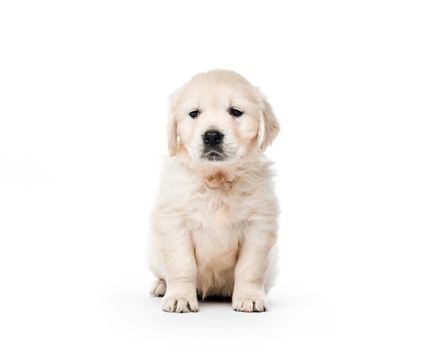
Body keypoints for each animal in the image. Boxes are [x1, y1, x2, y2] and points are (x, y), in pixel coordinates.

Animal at [149, 69, 280, 314]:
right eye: (194, 113)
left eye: (236, 111)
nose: (211, 136)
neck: (216, 178)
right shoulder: (175, 222)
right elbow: (181, 265)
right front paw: (180, 298)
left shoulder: (258, 225)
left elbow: (250, 268)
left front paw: (250, 297)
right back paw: (161, 286)